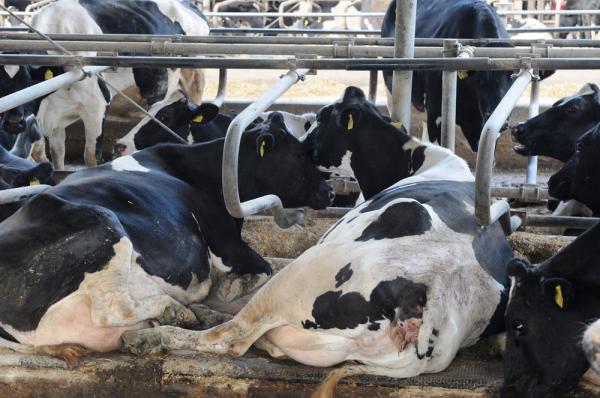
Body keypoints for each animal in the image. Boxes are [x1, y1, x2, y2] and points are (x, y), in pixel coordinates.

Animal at [0, 0, 209, 169]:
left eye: (27, 82)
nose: (13, 123)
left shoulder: (96, 105)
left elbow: (90, 156)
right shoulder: (53, 116)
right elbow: (54, 155)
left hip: (195, 77)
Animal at [0, 112, 332, 360]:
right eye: (299, 154)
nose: (329, 190)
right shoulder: (228, 245)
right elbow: (264, 267)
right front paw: (232, 287)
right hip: (103, 224)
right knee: (112, 309)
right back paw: (176, 310)